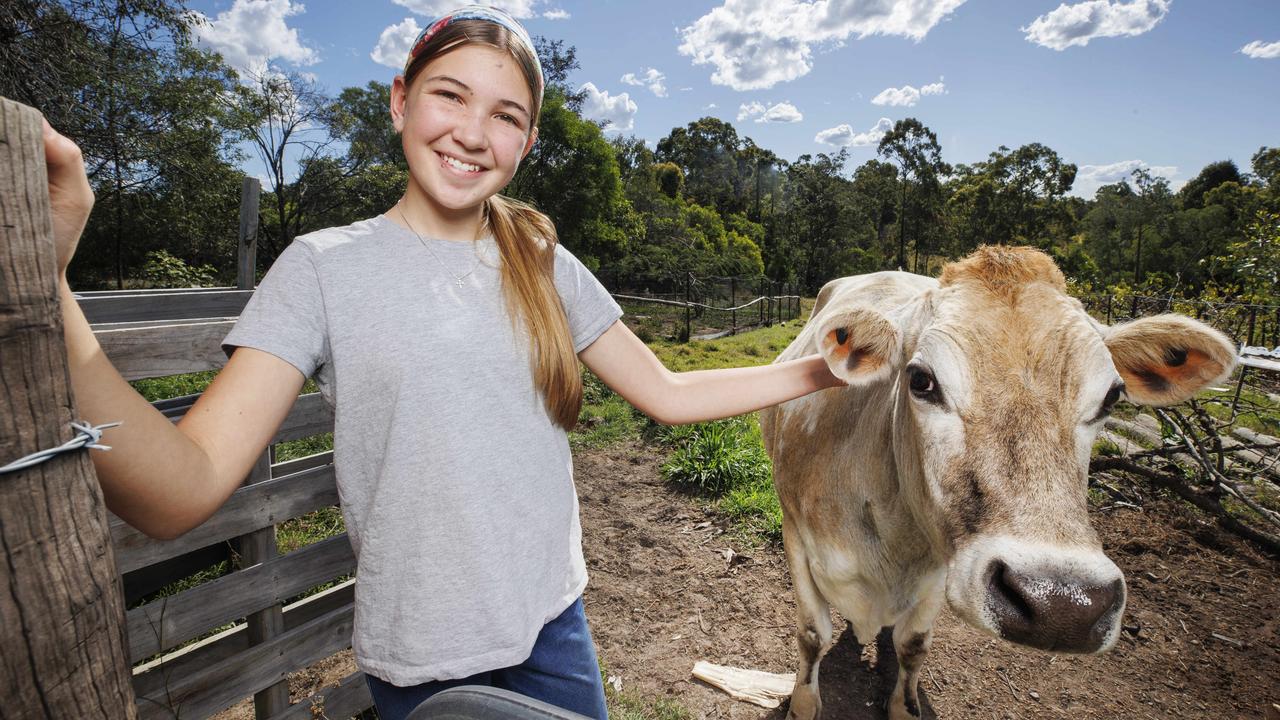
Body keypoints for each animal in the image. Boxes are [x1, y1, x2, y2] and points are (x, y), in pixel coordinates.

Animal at [752, 245, 1233, 717]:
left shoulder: (940, 565)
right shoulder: (795, 535)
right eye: (921, 380)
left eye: (1112, 396)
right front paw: (802, 704)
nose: (1062, 603)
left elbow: (913, 644)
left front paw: (904, 705)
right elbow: (813, 635)